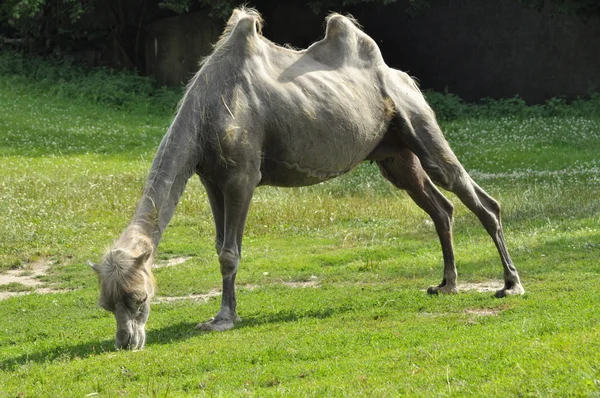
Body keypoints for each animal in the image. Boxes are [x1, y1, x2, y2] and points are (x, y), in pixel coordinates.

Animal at [86, 7, 524, 350]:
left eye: (139, 298)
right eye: (106, 304)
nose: (126, 343)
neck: (207, 107)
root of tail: (403, 77)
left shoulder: (243, 176)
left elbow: (230, 253)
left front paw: (224, 318)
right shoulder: (211, 178)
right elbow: (217, 245)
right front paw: (221, 313)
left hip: (418, 121)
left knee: (474, 196)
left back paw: (511, 284)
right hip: (394, 154)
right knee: (440, 206)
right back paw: (446, 284)